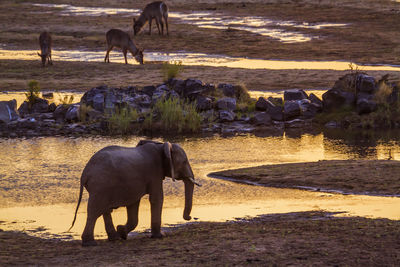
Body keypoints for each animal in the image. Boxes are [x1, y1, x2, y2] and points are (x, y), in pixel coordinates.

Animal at [69, 140, 200, 247]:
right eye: (184, 162)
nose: (189, 217)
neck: (162, 145)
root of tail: (84, 174)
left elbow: (133, 203)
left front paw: (121, 231)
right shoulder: (154, 173)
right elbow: (157, 198)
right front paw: (160, 236)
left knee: (104, 210)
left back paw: (114, 238)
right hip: (100, 185)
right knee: (94, 212)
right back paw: (90, 243)